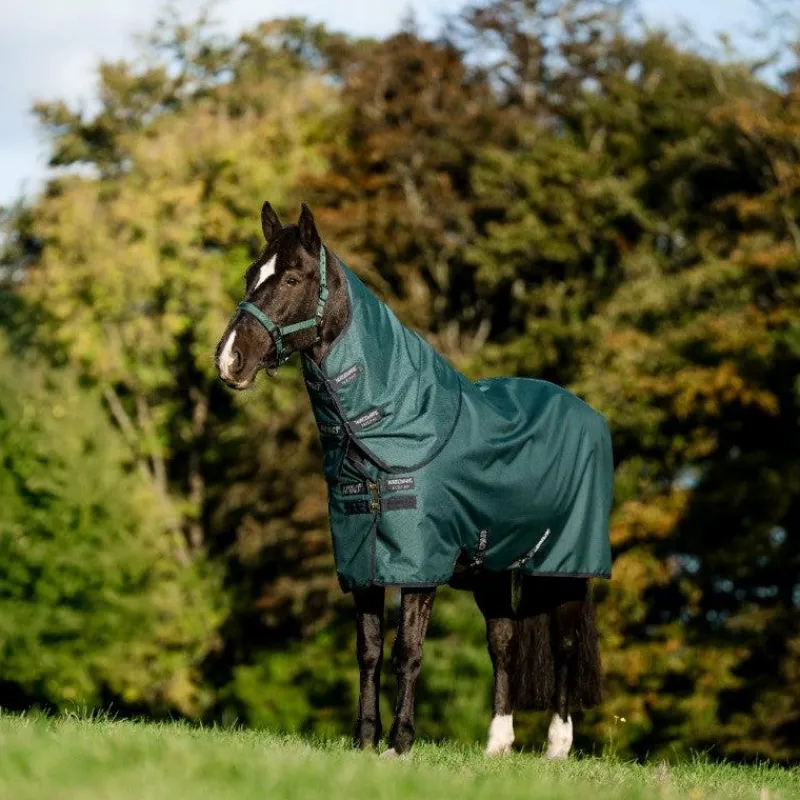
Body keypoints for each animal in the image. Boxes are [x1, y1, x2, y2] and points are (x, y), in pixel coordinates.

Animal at [215, 202, 613, 759]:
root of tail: (589, 415)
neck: (395, 425)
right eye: (252, 275)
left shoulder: (419, 569)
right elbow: (369, 651)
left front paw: (399, 744)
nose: (229, 359)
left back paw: (557, 745)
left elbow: (408, 651)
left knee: (565, 645)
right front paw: (364, 740)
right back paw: (497, 744)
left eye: (291, 277)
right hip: (493, 569)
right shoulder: (363, 561)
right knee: (504, 643)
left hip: (565, 569)